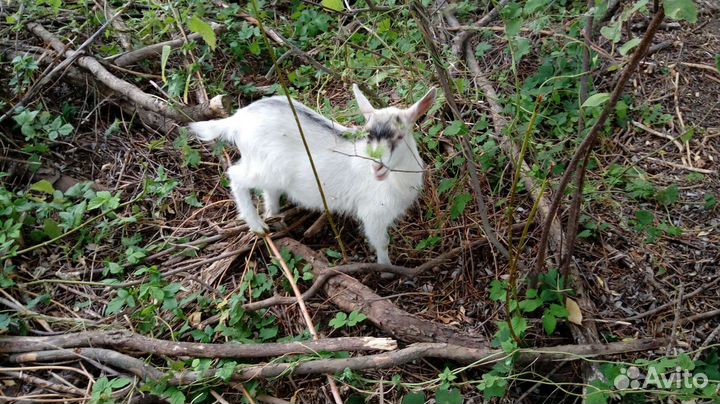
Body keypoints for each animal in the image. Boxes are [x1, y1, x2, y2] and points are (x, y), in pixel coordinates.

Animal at [189, 84, 436, 264]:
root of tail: (237, 119)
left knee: (268, 191)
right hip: (262, 168)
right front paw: (387, 269)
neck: (396, 180)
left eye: (400, 136)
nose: (377, 168)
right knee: (235, 175)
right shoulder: (373, 214)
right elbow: (381, 243)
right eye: (368, 135)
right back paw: (258, 225)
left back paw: (274, 217)